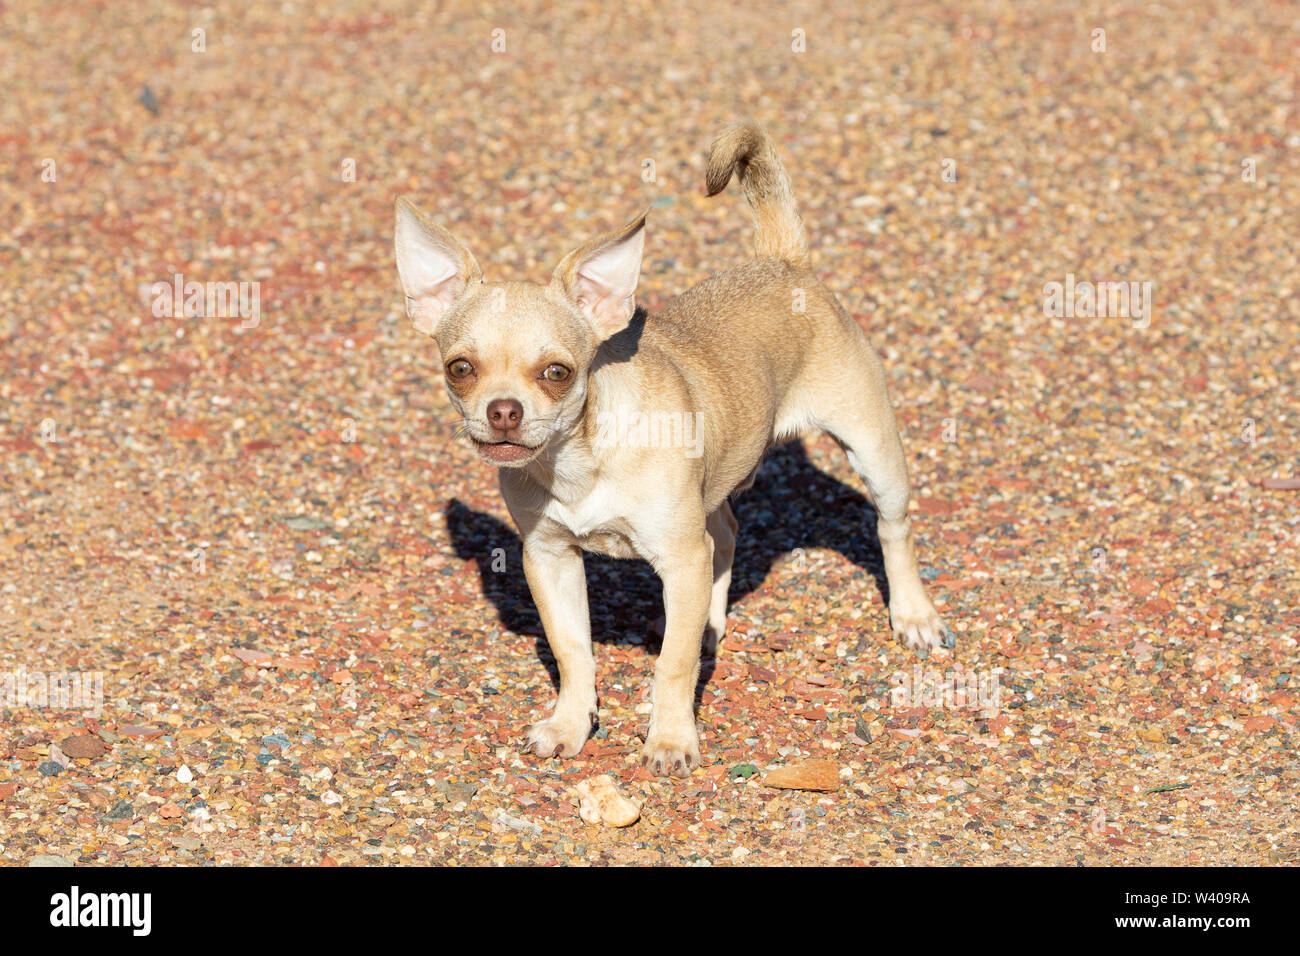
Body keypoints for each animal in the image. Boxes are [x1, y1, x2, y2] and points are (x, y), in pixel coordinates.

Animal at [390, 121, 951, 780]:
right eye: (460, 369)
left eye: (557, 372)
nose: (504, 410)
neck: (579, 460)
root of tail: (782, 260)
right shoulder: (550, 559)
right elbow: (572, 652)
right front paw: (571, 724)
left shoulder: (679, 557)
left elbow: (671, 665)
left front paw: (671, 739)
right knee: (727, 534)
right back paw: (709, 620)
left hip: (874, 453)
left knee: (893, 528)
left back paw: (913, 615)